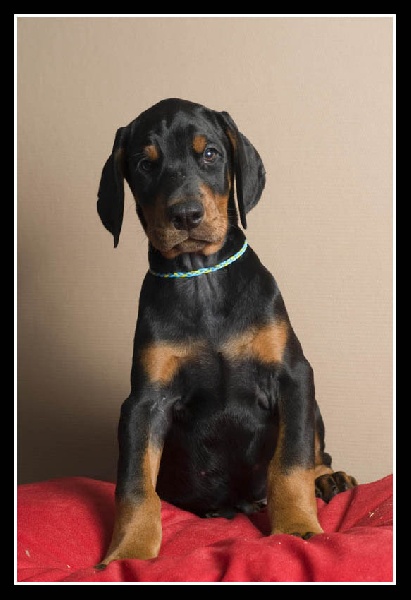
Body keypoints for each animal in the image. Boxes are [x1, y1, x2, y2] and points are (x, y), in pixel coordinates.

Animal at [96, 98, 357, 566]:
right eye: (145, 164)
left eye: (211, 154)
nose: (186, 215)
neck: (201, 277)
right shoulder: (144, 402)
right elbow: (134, 486)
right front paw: (129, 551)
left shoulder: (292, 376)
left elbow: (290, 463)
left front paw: (297, 527)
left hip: (313, 407)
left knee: (316, 451)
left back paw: (328, 478)